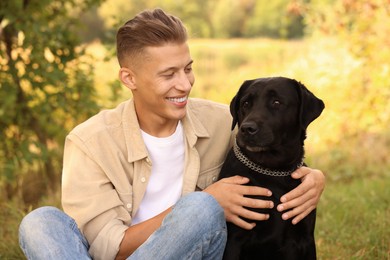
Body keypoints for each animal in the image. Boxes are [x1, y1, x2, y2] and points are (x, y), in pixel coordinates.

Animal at [218, 76, 324, 258]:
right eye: (246, 103)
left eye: (276, 102)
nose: (247, 128)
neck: (273, 171)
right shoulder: (234, 239)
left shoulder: (304, 238)